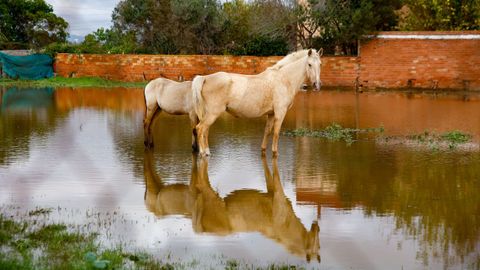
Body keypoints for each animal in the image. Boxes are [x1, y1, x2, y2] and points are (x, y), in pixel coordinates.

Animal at [191, 48, 322, 156]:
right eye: (309, 64)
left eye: (320, 64)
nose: (317, 85)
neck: (283, 79)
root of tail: (205, 78)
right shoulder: (280, 113)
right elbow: (276, 133)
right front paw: (275, 153)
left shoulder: (271, 114)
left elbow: (267, 132)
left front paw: (263, 150)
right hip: (213, 113)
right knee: (200, 128)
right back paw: (202, 153)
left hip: (208, 114)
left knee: (205, 130)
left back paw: (207, 152)